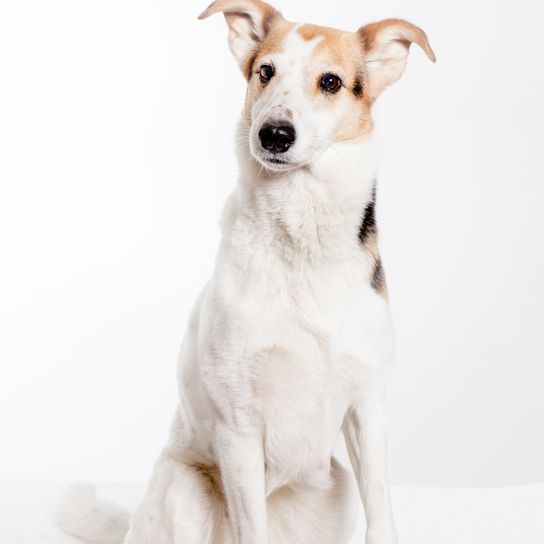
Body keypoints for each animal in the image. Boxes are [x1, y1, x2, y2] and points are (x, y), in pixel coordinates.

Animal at [57, 1, 436, 544]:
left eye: (331, 82)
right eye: (265, 71)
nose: (273, 133)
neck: (302, 240)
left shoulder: (368, 406)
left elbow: (382, 510)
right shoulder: (238, 423)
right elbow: (248, 523)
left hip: (337, 488)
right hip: (185, 490)